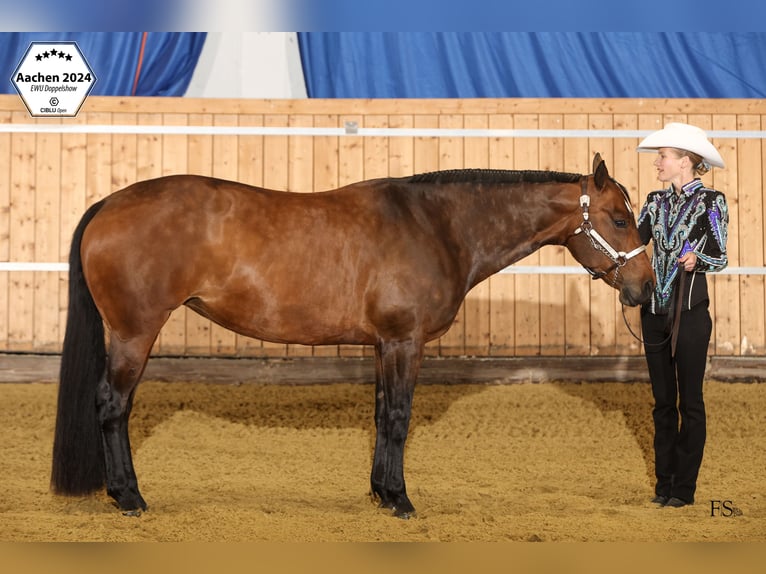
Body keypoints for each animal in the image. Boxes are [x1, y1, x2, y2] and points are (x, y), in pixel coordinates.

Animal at [51, 152, 654, 519]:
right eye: (620, 220)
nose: (646, 287)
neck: (437, 226)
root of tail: (108, 204)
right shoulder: (405, 341)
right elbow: (399, 416)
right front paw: (402, 500)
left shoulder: (384, 344)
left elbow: (382, 414)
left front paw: (381, 493)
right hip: (134, 333)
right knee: (113, 406)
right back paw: (129, 496)